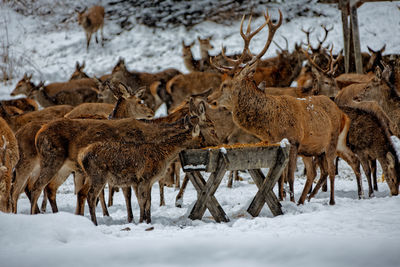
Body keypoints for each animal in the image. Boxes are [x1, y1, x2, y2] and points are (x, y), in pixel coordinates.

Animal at [206, 8, 362, 205]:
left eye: (225, 84)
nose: (209, 98)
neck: (271, 124)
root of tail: (340, 111)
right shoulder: (277, 146)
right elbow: (279, 178)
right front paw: (283, 198)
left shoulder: (293, 141)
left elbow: (290, 177)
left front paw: (289, 201)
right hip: (316, 149)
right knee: (323, 170)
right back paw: (308, 199)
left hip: (331, 141)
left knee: (332, 170)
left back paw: (331, 200)